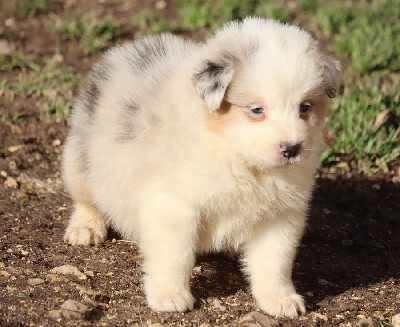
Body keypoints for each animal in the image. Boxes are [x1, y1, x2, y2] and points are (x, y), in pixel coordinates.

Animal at [62, 17, 340, 318]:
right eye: (256, 110)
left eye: (305, 107)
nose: (292, 148)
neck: (239, 159)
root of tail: (125, 50)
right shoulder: (174, 205)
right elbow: (175, 255)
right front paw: (170, 297)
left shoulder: (281, 215)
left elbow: (275, 261)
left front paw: (281, 300)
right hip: (80, 159)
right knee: (86, 199)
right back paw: (85, 229)